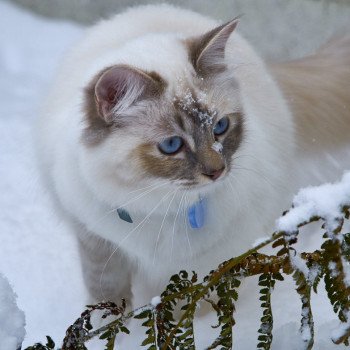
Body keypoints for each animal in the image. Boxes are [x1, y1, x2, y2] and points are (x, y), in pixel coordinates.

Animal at [35, 4, 350, 306]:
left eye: (220, 127)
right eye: (172, 145)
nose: (217, 171)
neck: (159, 202)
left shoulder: (204, 263)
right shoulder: (98, 242)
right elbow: (106, 300)